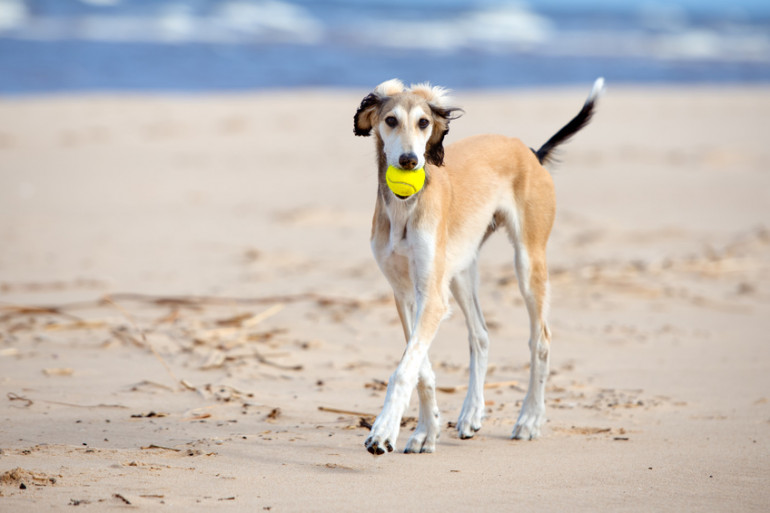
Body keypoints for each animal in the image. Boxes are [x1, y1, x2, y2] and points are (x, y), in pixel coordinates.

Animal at [352, 76, 600, 452]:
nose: (410, 161)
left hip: (528, 262)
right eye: (390, 120)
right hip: (460, 270)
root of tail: (529, 151)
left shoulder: (431, 297)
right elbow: (421, 368)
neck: (405, 208)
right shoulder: (406, 294)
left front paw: (383, 431)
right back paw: (471, 413)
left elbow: (405, 370)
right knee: (481, 335)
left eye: (424, 122)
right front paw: (426, 431)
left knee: (540, 340)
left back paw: (530, 419)